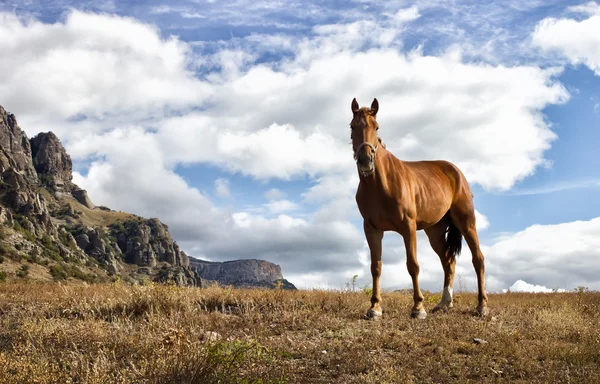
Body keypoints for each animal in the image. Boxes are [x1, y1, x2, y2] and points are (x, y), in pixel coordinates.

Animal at [352, 97, 488, 320]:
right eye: (352, 126)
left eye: (376, 127)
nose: (366, 161)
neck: (381, 183)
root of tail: (456, 172)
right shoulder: (372, 229)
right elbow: (376, 267)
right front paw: (374, 308)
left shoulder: (408, 227)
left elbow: (413, 265)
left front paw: (418, 308)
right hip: (435, 232)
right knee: (448, 262)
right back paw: (444, 303)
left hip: (467, 223)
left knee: (478, 259)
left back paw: (482, 306)